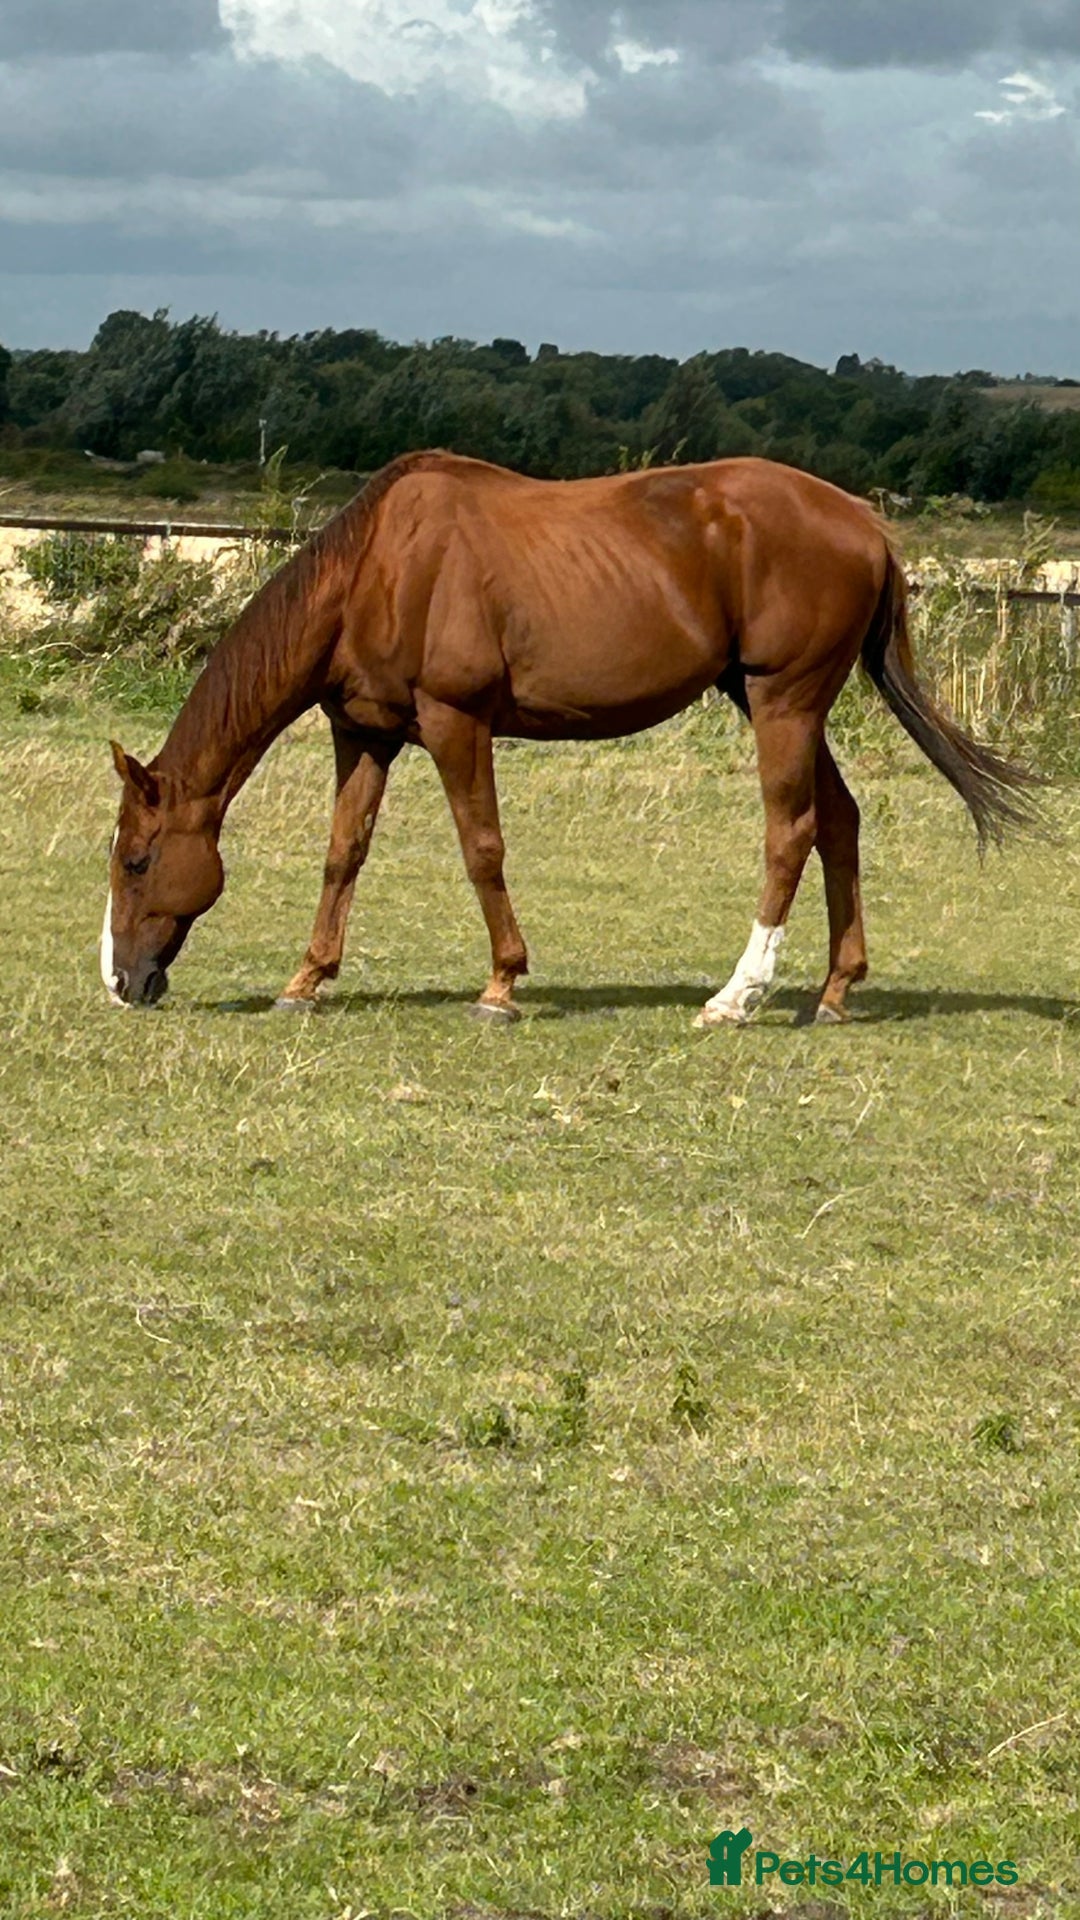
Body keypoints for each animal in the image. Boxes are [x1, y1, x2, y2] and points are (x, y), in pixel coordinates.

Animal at [101, 450, 1041, 1024]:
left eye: (138, 861)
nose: (120, 982)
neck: (380, 568)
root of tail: (862, 521)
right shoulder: (365, 734)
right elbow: (344, 854)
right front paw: (306, 980)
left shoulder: (456, 724)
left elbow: (481, 848)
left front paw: (502, 983)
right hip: (775, 703)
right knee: (840, 822)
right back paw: (836, 989)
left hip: (786, 703)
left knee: (793, 831)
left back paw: (736, 996)